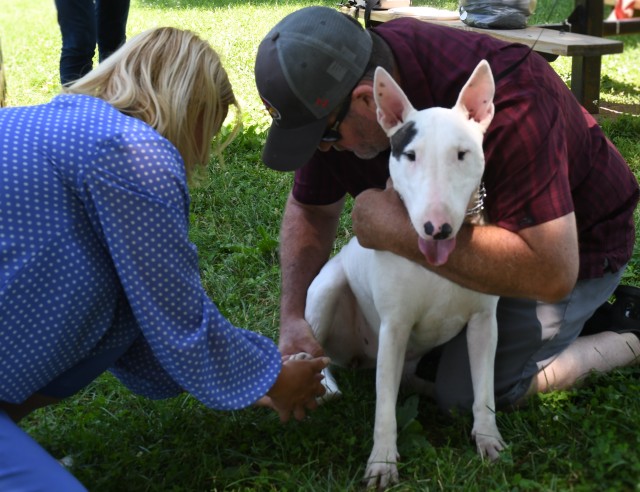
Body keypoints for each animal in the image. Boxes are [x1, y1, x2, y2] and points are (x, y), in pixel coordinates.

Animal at [300, 61, 504, 488]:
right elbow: (384, 409)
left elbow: (484, 390)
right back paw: (324, 386)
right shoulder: (393, 326)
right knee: (317, 354)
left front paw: (488, 439)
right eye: (409, 155)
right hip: (326, 292)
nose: (436, 228)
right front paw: (381, 463)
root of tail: (357, 360)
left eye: (462, 154)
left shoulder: (484, 322)